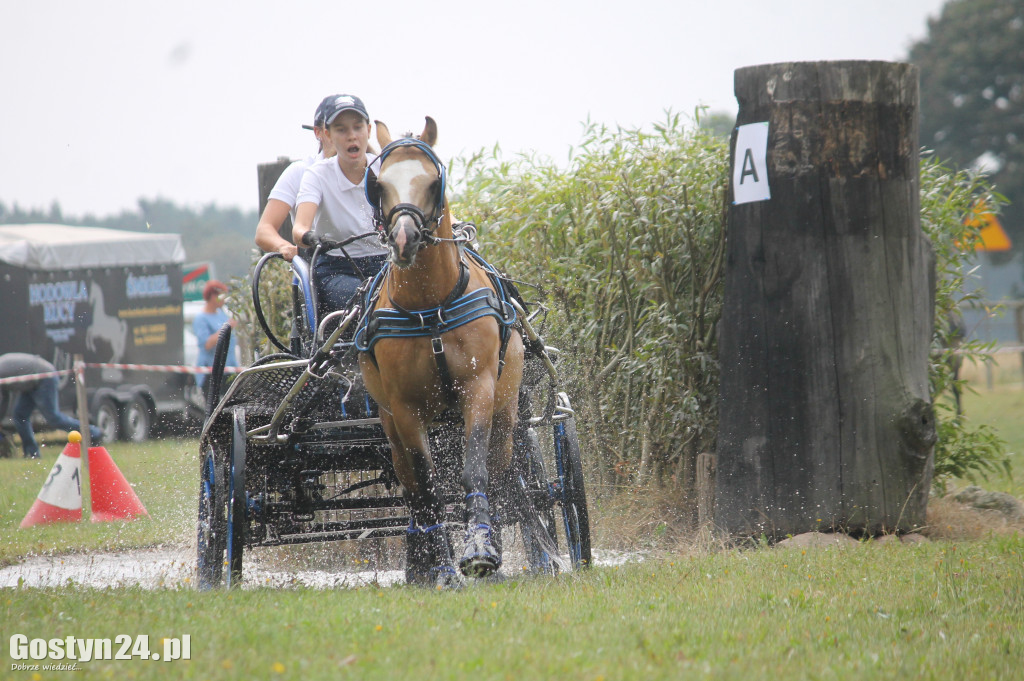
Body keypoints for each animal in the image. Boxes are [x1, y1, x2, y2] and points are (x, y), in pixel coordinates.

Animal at [356, 115, 524, 585]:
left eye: (433, 182)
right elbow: (429, 488)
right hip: (391, 428)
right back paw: (424, 563)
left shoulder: (478, 387)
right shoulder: (405, 409)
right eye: (379, 184)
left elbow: (473, 470)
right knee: (414, 493)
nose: (404, 239)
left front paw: (481, 549)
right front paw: (444, 568)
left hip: (507, 413)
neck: (429, 306)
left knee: (500, 475)